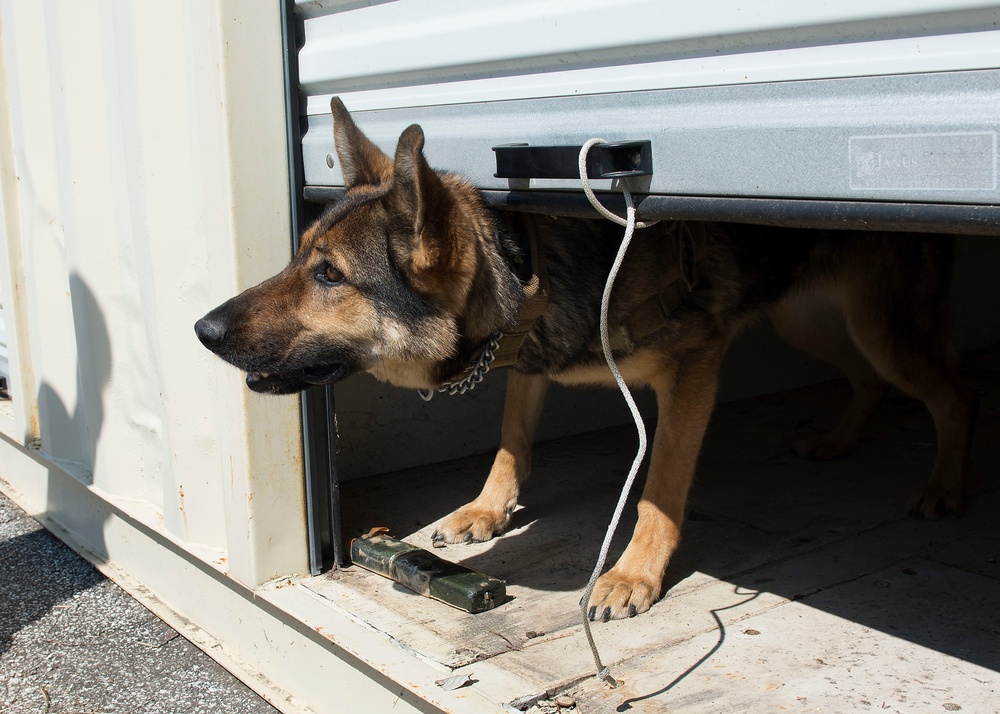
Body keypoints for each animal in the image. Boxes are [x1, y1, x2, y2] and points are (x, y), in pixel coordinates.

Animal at [195, 97, 976, 620]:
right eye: (300, 259)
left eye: (330, 276)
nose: (202, 329)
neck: (524, 269)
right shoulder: (532, 368)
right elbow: (510, 440)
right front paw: (487, 510)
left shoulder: (694, 368)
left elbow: (661, 485)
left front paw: (635, 574)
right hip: (805, 319)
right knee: (870, 381)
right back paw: (842, 440)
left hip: (875, 326)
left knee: (951, 392)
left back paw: (946, 484)